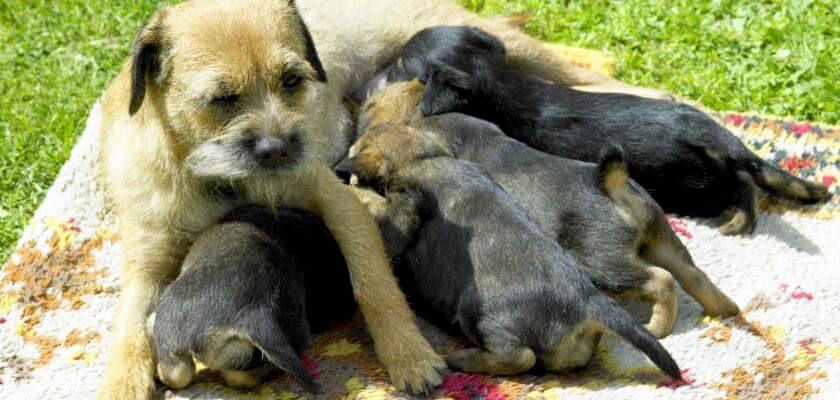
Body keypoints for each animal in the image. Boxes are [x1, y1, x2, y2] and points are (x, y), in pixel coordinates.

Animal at [334, 126, 684, 382]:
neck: (425, 157)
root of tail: (589, 302)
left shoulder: (401, 214)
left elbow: (377, 207)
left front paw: (353, 188)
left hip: (478, 310)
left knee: (520, 357)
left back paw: (464, 359)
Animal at [348, 81, 740, 338]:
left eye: (370, 107)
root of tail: (611, 184)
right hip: (663, 241)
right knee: (693, 275)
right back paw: (725, 310)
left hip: (604, 264)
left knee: (661, 280)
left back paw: (658, 326)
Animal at [390, 25, 832, 236]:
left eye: (400, 65)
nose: (385, 69)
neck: (499, 77)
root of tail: (710, 133)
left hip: (691, 186)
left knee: (741, 182)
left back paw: (740, 218)